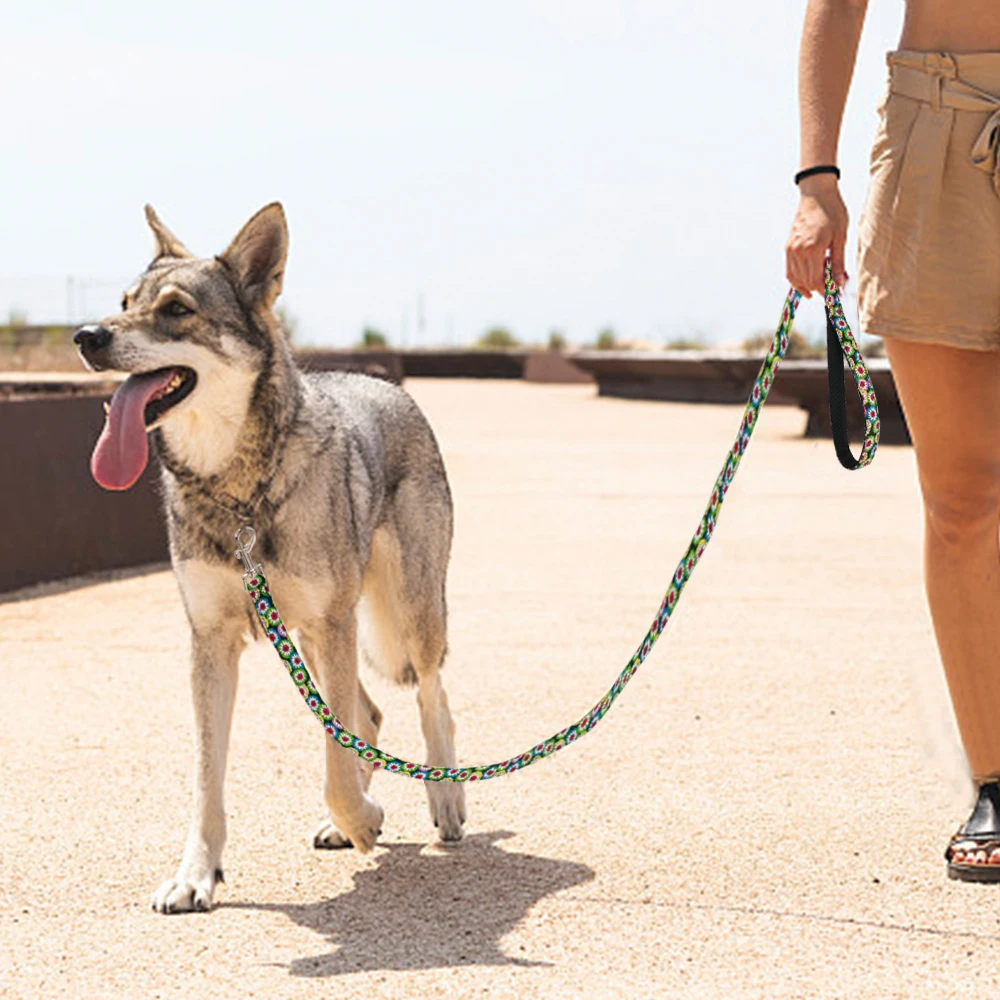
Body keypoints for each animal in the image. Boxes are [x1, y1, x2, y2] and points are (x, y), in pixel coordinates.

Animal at [76, 203, 466, 916]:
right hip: (312, 639)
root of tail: (386, 384)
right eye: (124, 303)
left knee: (430, 694)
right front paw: (196, 876)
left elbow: (336, 766)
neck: (238, 491)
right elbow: (208, 780)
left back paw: (445, 796)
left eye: (176, 310)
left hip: (401, 614)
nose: (85, 336)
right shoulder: (211, 641)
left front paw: (363, 818)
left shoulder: (332, 625)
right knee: (368, 715)